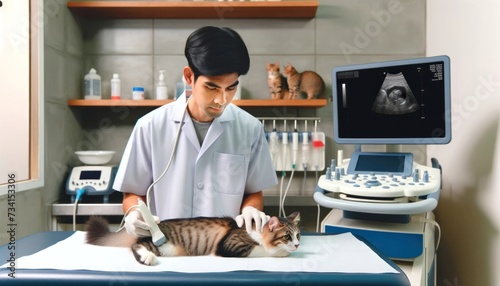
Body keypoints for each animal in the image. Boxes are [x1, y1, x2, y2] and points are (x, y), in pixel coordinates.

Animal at [85, 212, 300, 266]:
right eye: (287, 236)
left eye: (298, 235)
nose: (297, 245)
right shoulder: (231, 246)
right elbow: (265, 249)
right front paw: (281, 252)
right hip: (162, 245)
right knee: (137, 246)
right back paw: (147, 258)